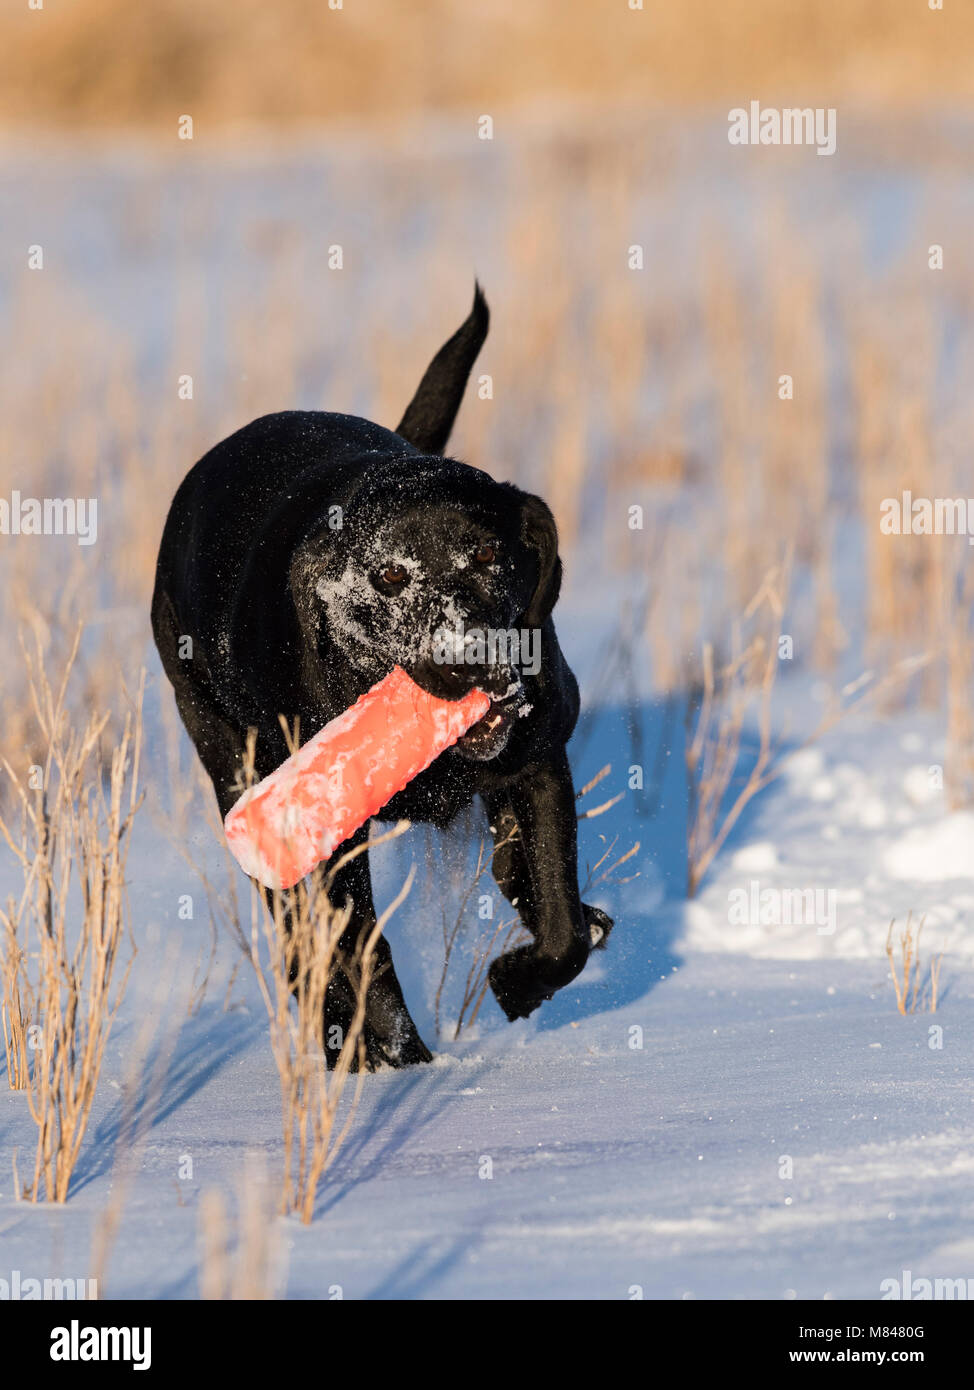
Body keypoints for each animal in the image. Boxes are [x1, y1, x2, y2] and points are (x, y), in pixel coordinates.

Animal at [150, 287, 608, 1067]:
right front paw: (397, 1066)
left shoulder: (540, 757)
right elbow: (361, 950)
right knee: (299, 933)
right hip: (235, 769)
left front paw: (518, 982)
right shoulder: (328, 831)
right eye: (389, 576)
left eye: (490, 553)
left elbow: (559, 923)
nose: (470, 655)